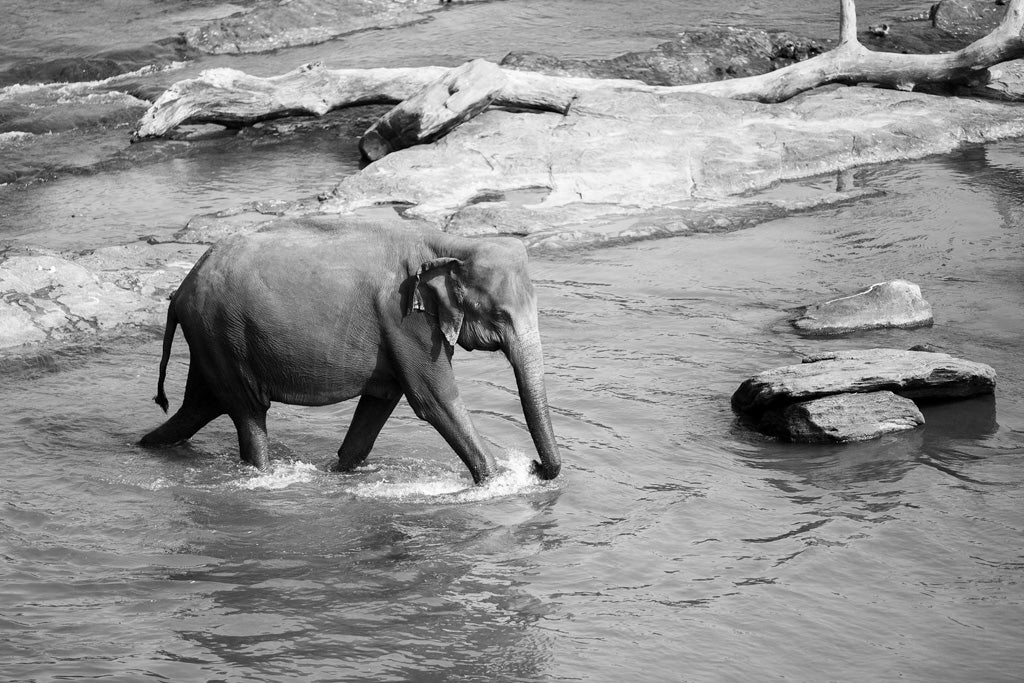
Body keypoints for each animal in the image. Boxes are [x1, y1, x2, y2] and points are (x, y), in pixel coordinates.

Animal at [138, 216, 561, 483]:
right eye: (500, 315)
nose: (535, 465)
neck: (451, 242)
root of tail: (181, 290)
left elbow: (381, 400)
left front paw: (339, 472)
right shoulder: (404, 317)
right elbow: (434, 400)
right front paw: (498, 481)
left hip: (212, 340)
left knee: (198, 407)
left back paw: (144, 446)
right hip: (221, 333)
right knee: (247, 412)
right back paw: (263, 474)